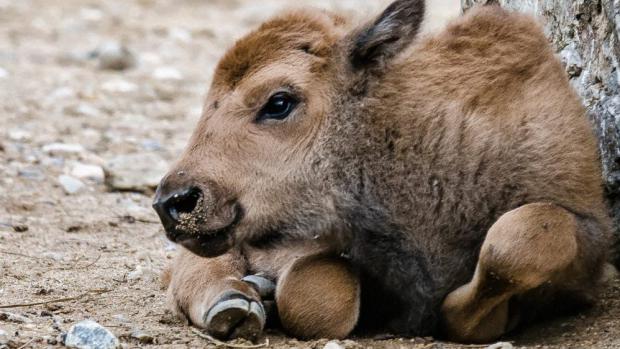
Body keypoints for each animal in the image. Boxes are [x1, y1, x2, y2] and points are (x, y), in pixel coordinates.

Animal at [154, 0, 612, 342]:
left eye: (279, 102)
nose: (174, 201)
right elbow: (317, 289)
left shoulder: (586, 239)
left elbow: (523, 241)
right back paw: (235, 306)